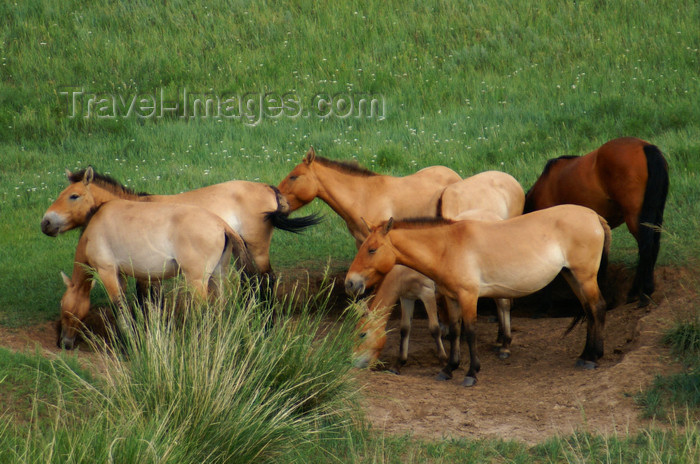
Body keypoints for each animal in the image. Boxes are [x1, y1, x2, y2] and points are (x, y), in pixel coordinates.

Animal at [57, 198, 254, 348]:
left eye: (64, 309)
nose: (64, 344)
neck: (95, 226)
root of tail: (220, 223)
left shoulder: (107, 272)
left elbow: (118, 306)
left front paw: (127, 341)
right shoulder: (120, 275)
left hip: (197, 282)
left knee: (202, 312)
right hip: (217, 277)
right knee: (220, 307)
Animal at [348, 205, 608, 386]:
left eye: (372, 249)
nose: (351, 282)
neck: (447, 247)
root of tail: (594, 215)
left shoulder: (466, 297)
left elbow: (469, 332)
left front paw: (471, 373)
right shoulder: (450, 298)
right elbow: (453, 331)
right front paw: (448, 369)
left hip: (584, 277)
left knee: (597, 308)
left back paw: (593, 358)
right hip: (572, 276)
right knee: (589, 310)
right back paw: (585, 355)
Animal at [356, 170, 524, 370]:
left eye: (362, 334)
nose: (354, 362)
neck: (401, 266)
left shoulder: (427, 293)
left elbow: (434, 328)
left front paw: (443, 358)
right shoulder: (406, 296)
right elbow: (405, 329)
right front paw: (400, 363)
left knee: (503, 304)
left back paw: (505, 344)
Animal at [524, 136, 668, 306]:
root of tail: (645, 147)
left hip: (635, 217)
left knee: (646, 247)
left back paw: (641, 293)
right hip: (655, 213)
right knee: (654, 245)